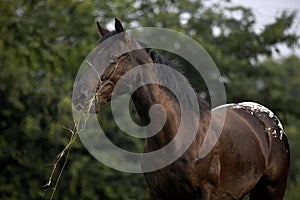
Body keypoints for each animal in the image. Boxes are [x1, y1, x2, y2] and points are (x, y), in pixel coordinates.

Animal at [71, 18, 290, 199]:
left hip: (272, 190)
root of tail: (268, 120)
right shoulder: (157, 194)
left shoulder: (206, 193)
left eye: (112, 57)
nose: (80, 95)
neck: (175, 137)